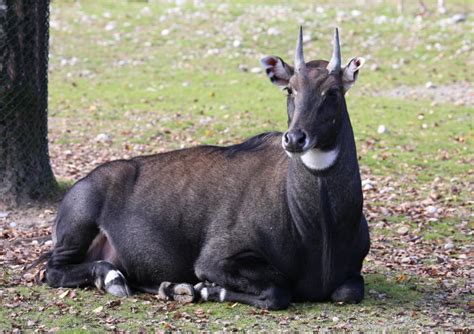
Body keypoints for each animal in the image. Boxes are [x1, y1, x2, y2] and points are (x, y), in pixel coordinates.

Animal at [44, 27, 370, 310]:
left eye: (333, 92)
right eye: (290, 89)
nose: (294, 138)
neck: (320, 230)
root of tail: (82, 182)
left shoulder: (352, 274)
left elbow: (348, 291)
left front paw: (182, 288)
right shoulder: (215, 260)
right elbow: (278, 291)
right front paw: (203, 289)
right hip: (75, 231)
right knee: (52, 270)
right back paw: (114, 279)